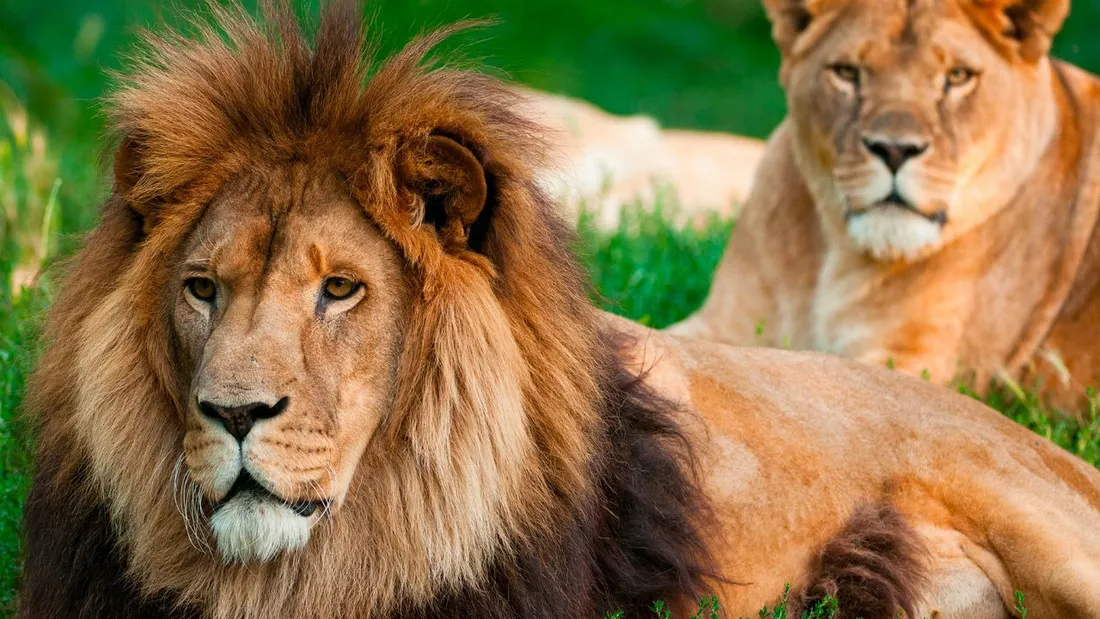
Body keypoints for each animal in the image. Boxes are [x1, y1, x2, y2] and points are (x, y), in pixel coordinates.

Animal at [668, 0, 1100, 411]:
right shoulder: (720, 324)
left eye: (958, 76)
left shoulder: (916, 362)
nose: (894, 150)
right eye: (847, 72)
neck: (834, 255)